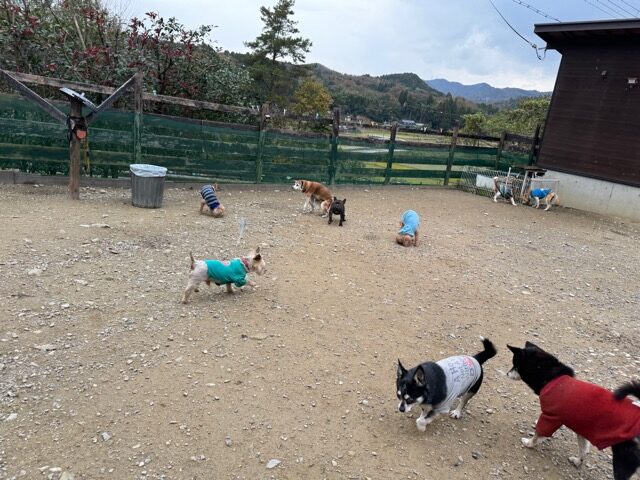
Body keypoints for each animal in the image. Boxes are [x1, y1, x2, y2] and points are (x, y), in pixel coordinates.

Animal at [507, 342, 640, 479]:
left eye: (515, 366)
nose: (506, 374)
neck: (551, 378)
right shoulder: (582, 429)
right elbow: (583, 449)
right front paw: (577, 461)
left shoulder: (549, 418)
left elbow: (538, 434)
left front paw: (528, 443)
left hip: (623, 460)